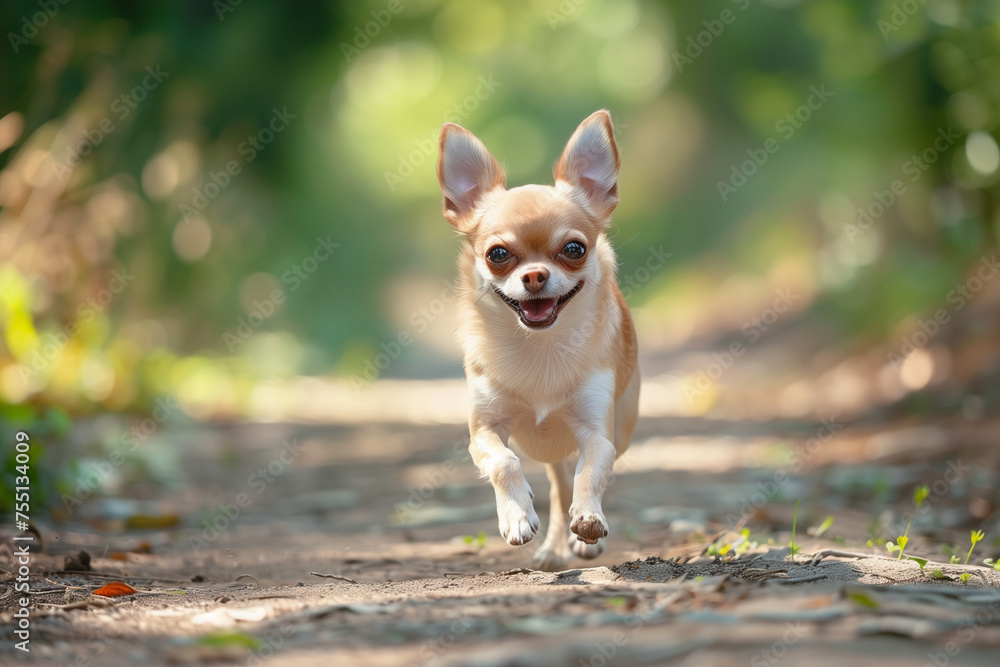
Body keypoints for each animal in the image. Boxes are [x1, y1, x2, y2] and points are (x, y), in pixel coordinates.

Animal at [438, 112, 640, 572]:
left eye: (574, 248)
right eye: (497, 254)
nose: (534, 275)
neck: (540, 346)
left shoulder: (597, 433)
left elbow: (591, 473)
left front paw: (588, 522)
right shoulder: (484, 430)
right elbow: (503, 462)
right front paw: (516, 516)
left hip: (621, 427)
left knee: (578, 478)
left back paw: (583, 542)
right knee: (559, 485)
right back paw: (552, 548)